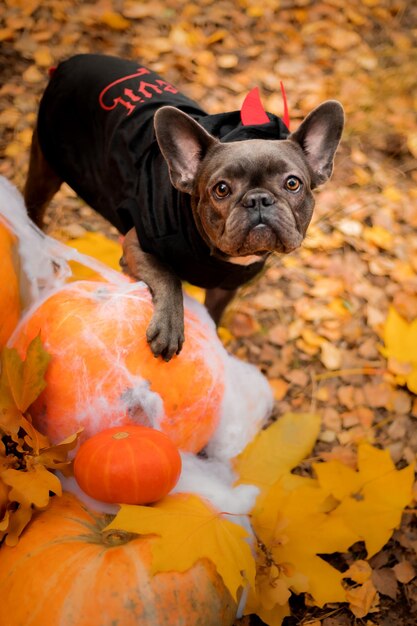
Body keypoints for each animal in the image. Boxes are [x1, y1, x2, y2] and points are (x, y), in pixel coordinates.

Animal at [25, 54, 344, 360]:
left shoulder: (224, 288)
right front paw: (169, 327)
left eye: (292, 184)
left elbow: (213, 315)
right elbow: (168, 277)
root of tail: (66, 64)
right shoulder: (136, 246)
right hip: (47, 166)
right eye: (221, 189)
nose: (258, 199)